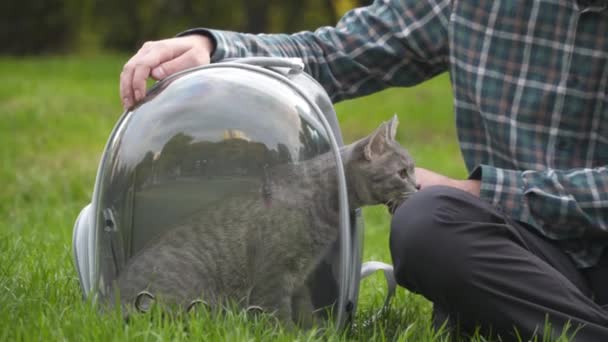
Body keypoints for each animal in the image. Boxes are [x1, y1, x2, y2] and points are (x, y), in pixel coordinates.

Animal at [111, 114, 418, 324]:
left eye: (413, 170)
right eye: (402, 172)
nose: (418, 186)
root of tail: (105, 302)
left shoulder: (299, 275)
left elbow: (304, 309)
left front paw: (313, 330)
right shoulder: (275, 273)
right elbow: (278, 315)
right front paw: (290, 333)